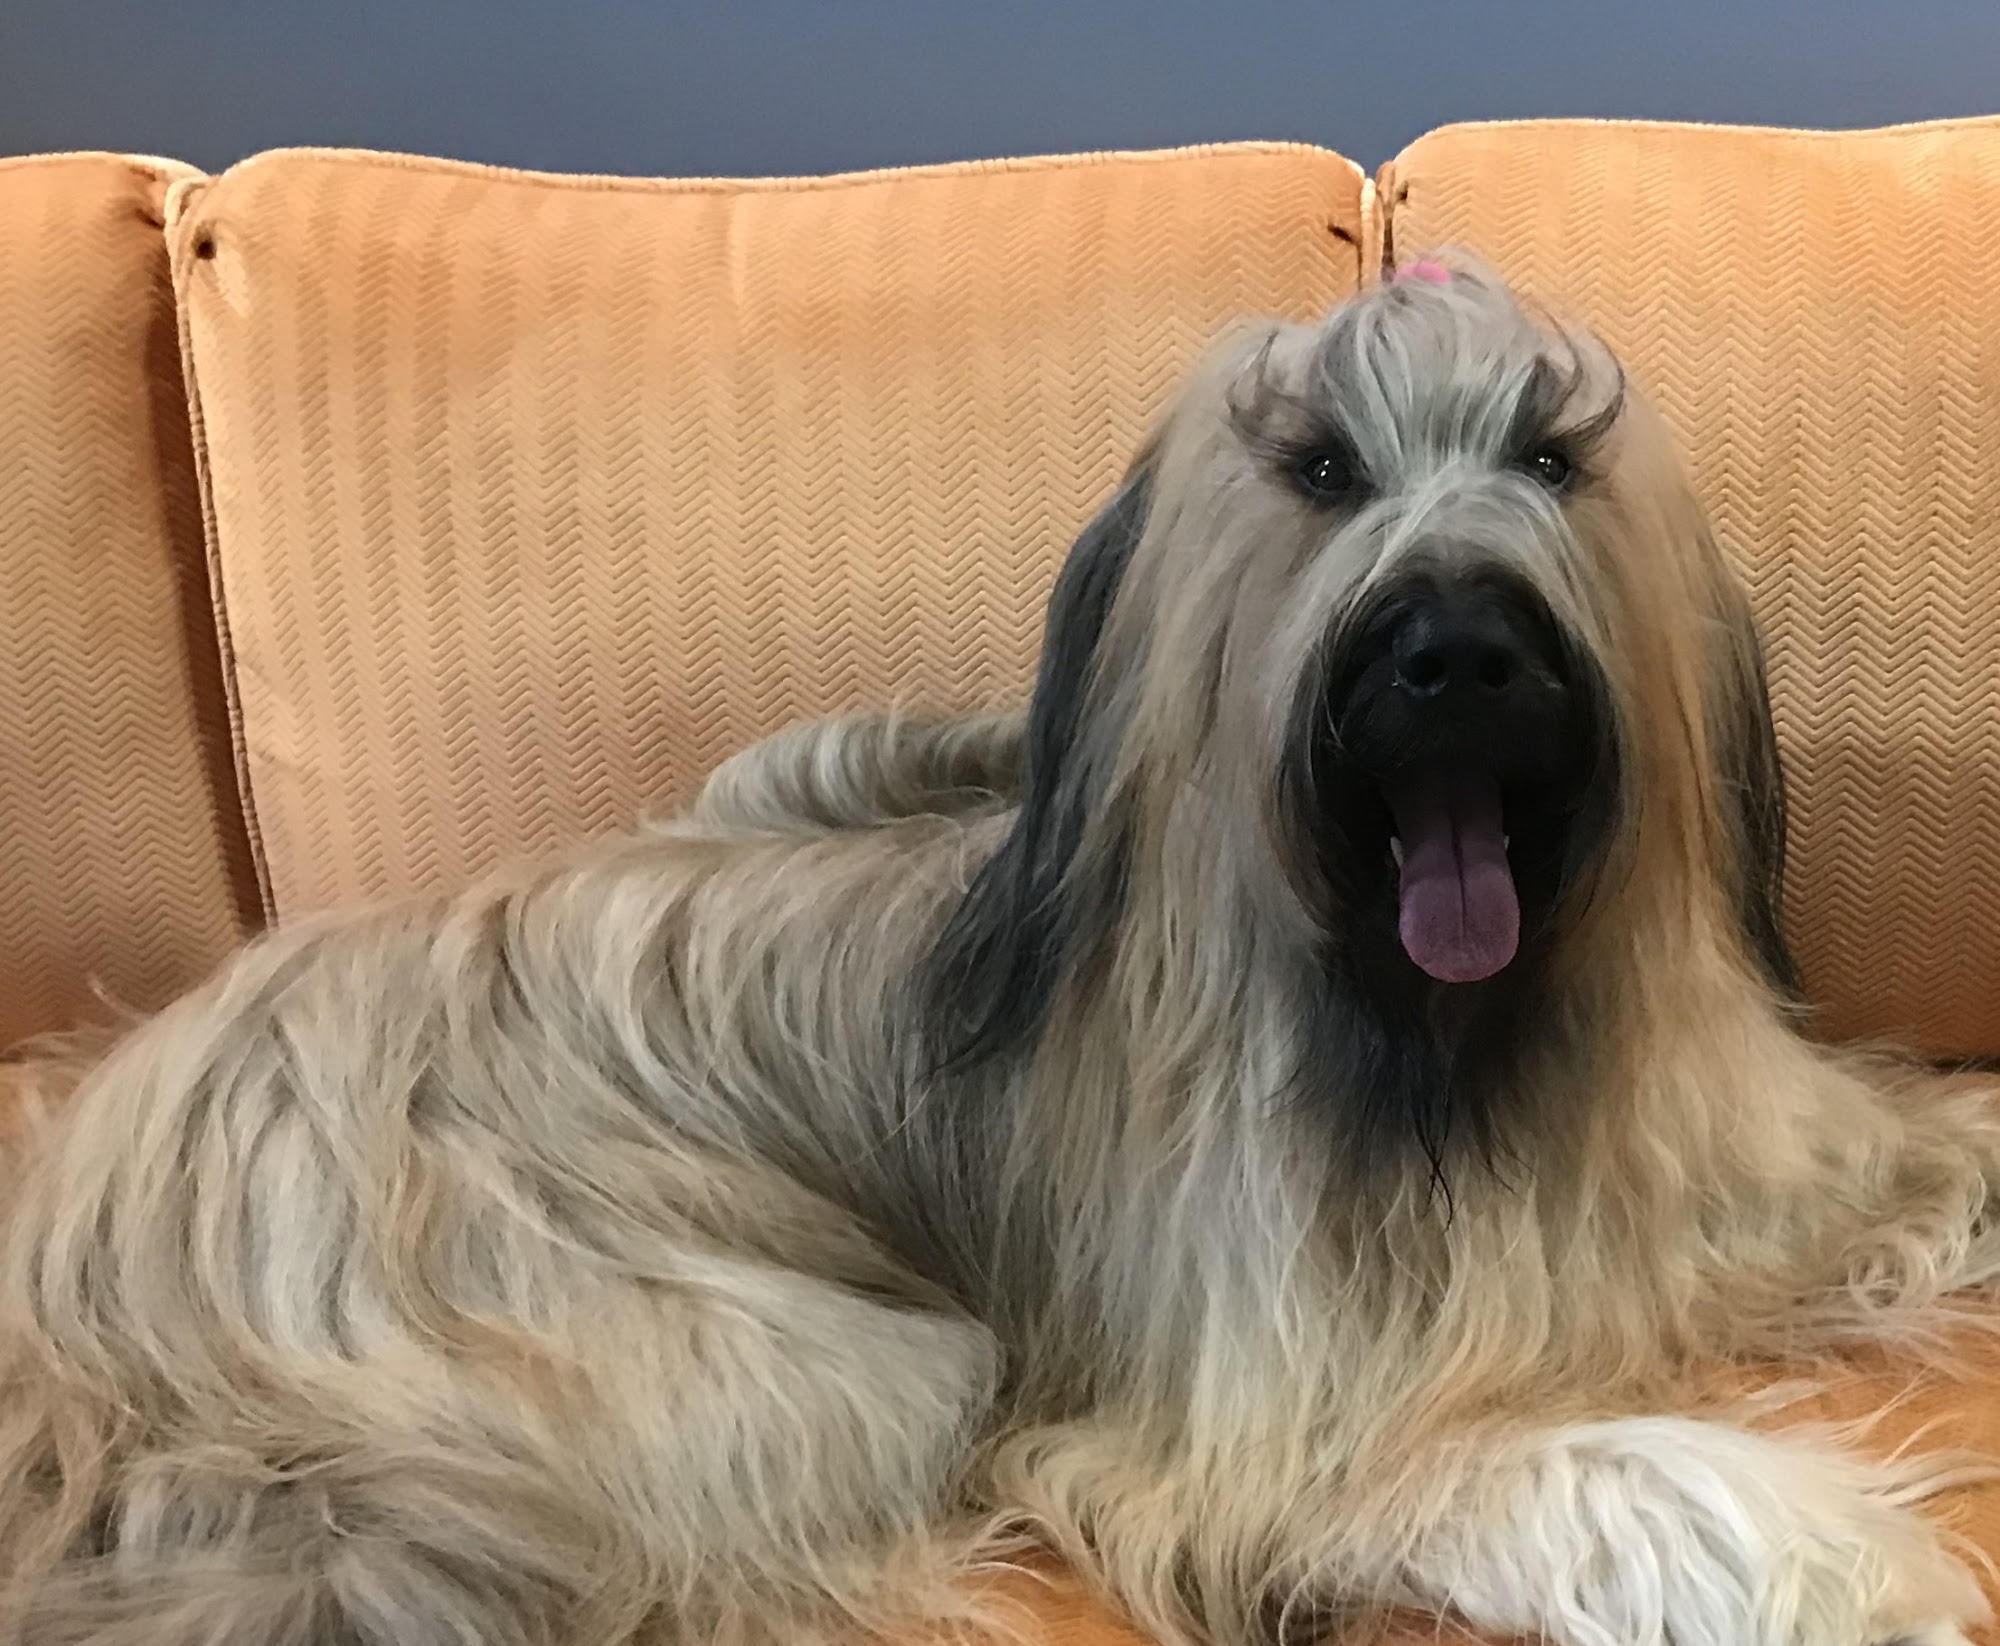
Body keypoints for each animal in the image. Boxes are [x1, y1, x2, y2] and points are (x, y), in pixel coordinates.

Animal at [3, 260, 1999, 1646]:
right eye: (1321, 469)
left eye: (1550, 455)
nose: (1452, 652)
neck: (1450, 1052)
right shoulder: (1250, 1429)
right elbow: (1582, 1467)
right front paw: (1853, 1564)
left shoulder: (1747, 1169)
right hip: (756, 1363)